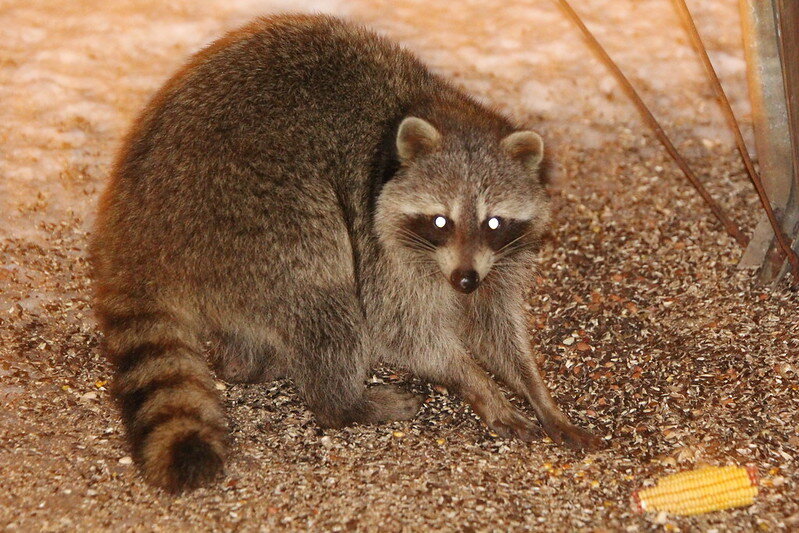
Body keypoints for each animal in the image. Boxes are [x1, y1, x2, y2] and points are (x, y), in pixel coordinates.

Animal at [90, 14, 600, 492]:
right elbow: (401, 330)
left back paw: (251, 360)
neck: (434, 111)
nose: (464, 281)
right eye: (441, 222)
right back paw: (342, 401)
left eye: (494, 223)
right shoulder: (377, 240)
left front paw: (537, 391)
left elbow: (496, 324)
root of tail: (132, 236)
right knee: (322, 282)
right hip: (244, 215)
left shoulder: (499, 259)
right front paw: (477, 384)